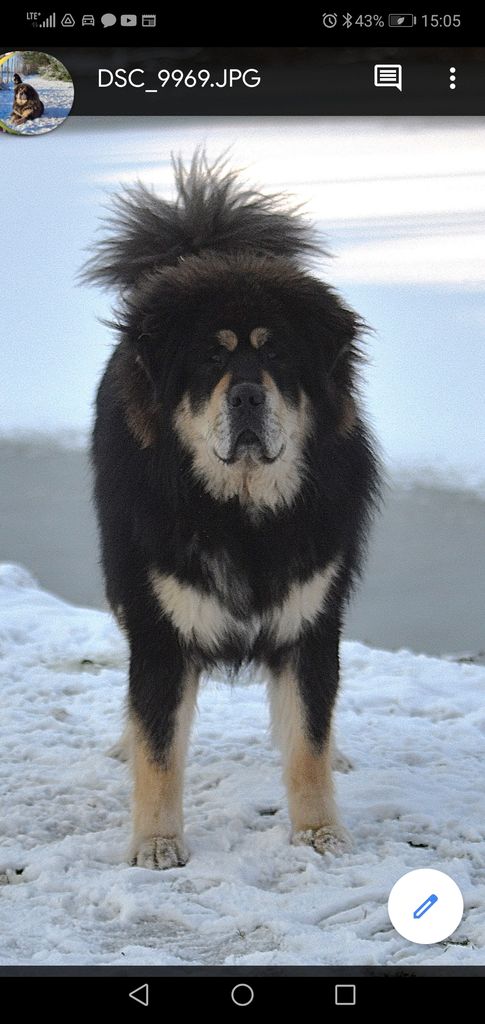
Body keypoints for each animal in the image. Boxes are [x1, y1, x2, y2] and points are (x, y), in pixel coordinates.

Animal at [85, 155, 378, 868]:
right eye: (212, 356)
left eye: (276, 353)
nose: (246, 395)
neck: (242, 514)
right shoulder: (161, 628)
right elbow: (160, 747)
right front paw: (157, 843)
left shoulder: (311, 621)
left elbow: (308, 740)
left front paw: (319, 832)